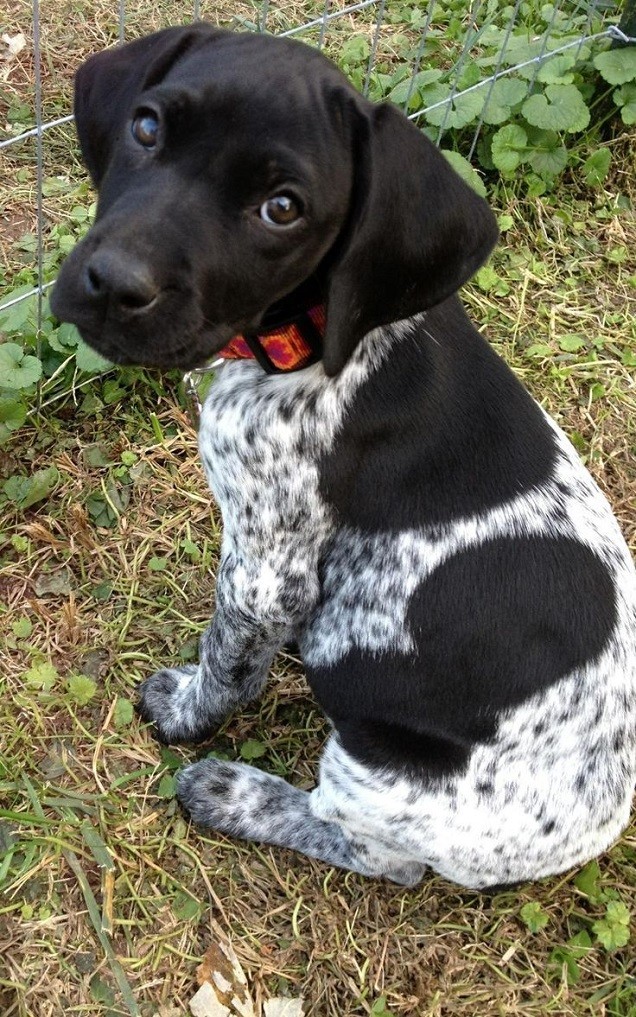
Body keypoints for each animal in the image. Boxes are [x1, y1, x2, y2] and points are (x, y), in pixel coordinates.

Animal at [50, 19, 634, 886]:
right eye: (147, 128)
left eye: (281, 209)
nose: (113, 283)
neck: (314, 338)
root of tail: (594, 828)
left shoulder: (265, 569)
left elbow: (226, 662)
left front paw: (187, 713)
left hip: (376, 767)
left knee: (378, 854)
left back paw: (234, 792)